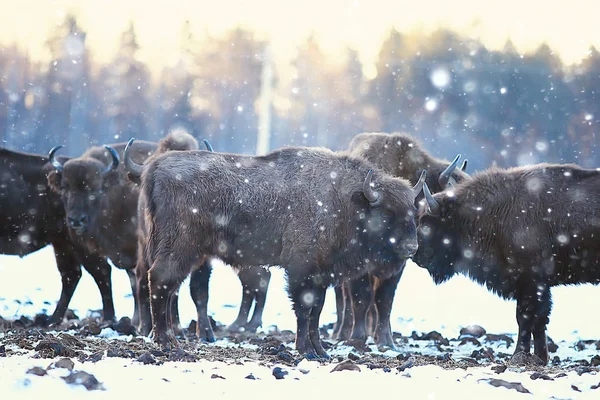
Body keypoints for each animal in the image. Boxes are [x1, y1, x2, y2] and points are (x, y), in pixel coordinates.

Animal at [1, 148, 115, 324]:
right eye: (65, 187)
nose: (76, 219)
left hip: (77, 244)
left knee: (100, 271)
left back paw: (108, 318)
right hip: (61, 243)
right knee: (72, 275)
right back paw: (52, 319)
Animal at [139, 145, 422, 358]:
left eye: (414, 213)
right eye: (386, 213)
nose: (412, 247)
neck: (346, 201)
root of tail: (156, 168)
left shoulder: (321, 275)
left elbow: (317, 311)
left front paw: (321, 352)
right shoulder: (301, 270)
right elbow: (304, 310)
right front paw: (307, 351)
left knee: (167, 287)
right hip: (179, 249)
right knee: (161, 281)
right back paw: (166, 342)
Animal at [332, 133, 468, 348]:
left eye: (414, 213)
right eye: (386, 214)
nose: (411, 247)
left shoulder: (397, 267)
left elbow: (384, 301)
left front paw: (386, 341)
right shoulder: (359, 267)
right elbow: (361, 298)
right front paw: (356, 337)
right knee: (343, 299)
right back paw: (341, 332)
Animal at [420, 163, 600, 366]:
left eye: (426, 224)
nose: (416, 255)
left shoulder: (530, 283)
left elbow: (525, 318)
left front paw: (518, 356)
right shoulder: (537, 286)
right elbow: (539, 321)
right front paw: (540, 357)